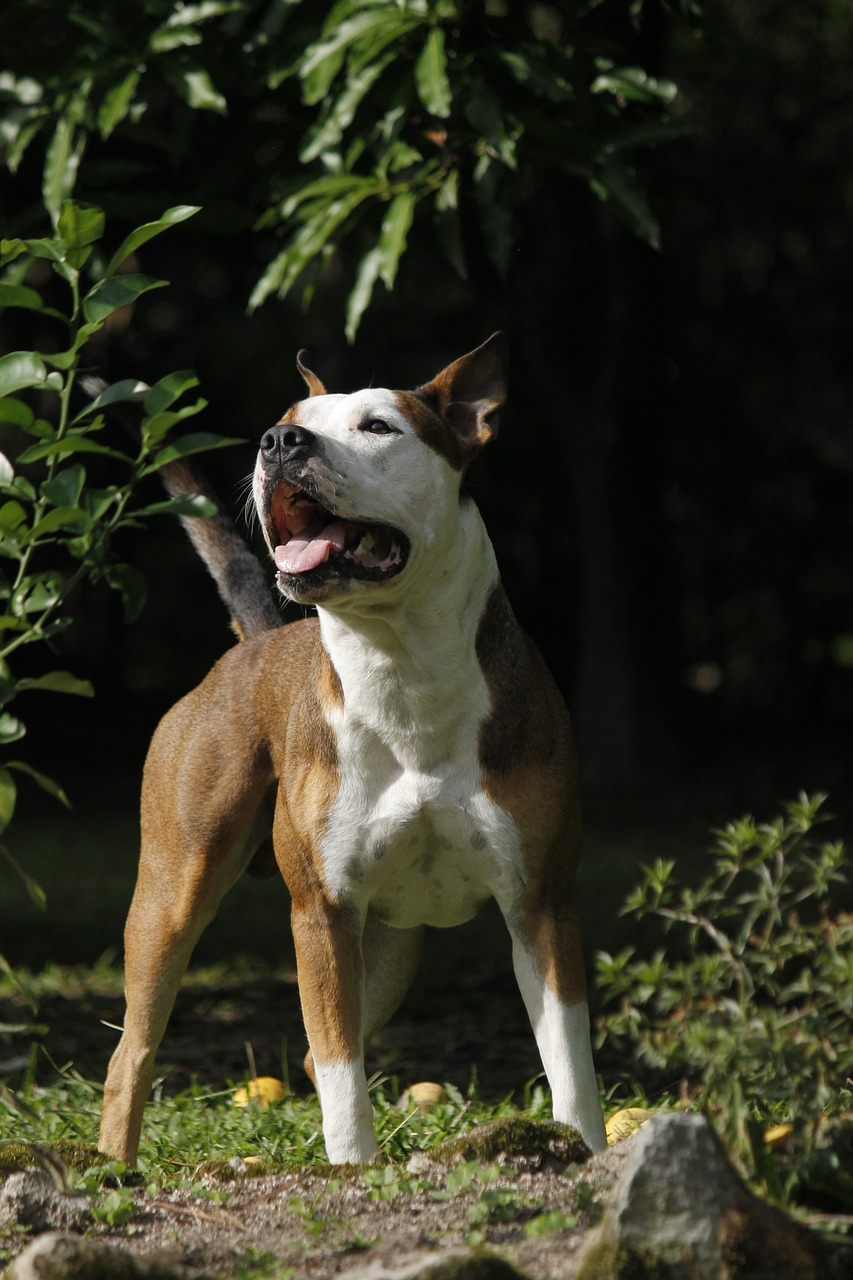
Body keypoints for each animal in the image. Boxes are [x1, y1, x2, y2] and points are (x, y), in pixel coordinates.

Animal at [97, 335, 604, 1167]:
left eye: (377, 427)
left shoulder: (541, 906)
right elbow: (340, 1070)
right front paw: (354, 1169)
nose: (279, 442)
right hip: (171, 895)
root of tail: (261, 641)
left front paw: (584, 1152)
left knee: (314, 1050)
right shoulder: (322, 913)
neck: (399, 663)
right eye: (288, 421)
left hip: (392, 948)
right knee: (135, 1050)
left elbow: (568, 1058)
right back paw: (115, 1166)